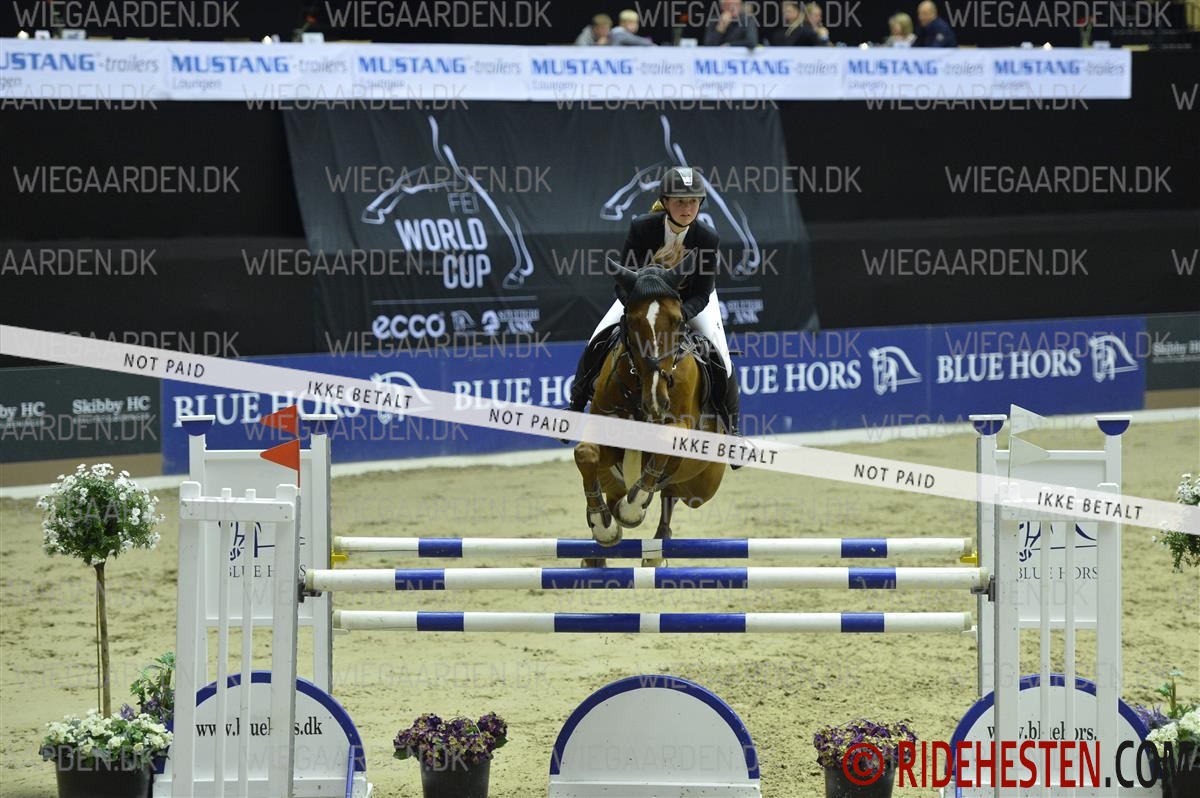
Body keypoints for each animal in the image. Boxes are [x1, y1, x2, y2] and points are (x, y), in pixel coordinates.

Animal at [573, 256, 727, 568]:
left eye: (678, 320)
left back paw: (655, 548)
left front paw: (633, 510)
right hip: (614, 476)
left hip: (701, 488)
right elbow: (585, 453)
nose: (657, 399)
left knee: (671, 495)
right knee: (616, 490)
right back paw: (597, 552)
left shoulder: (680, 434)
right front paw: (603, 527)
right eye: (632, 321)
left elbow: (664, 446)